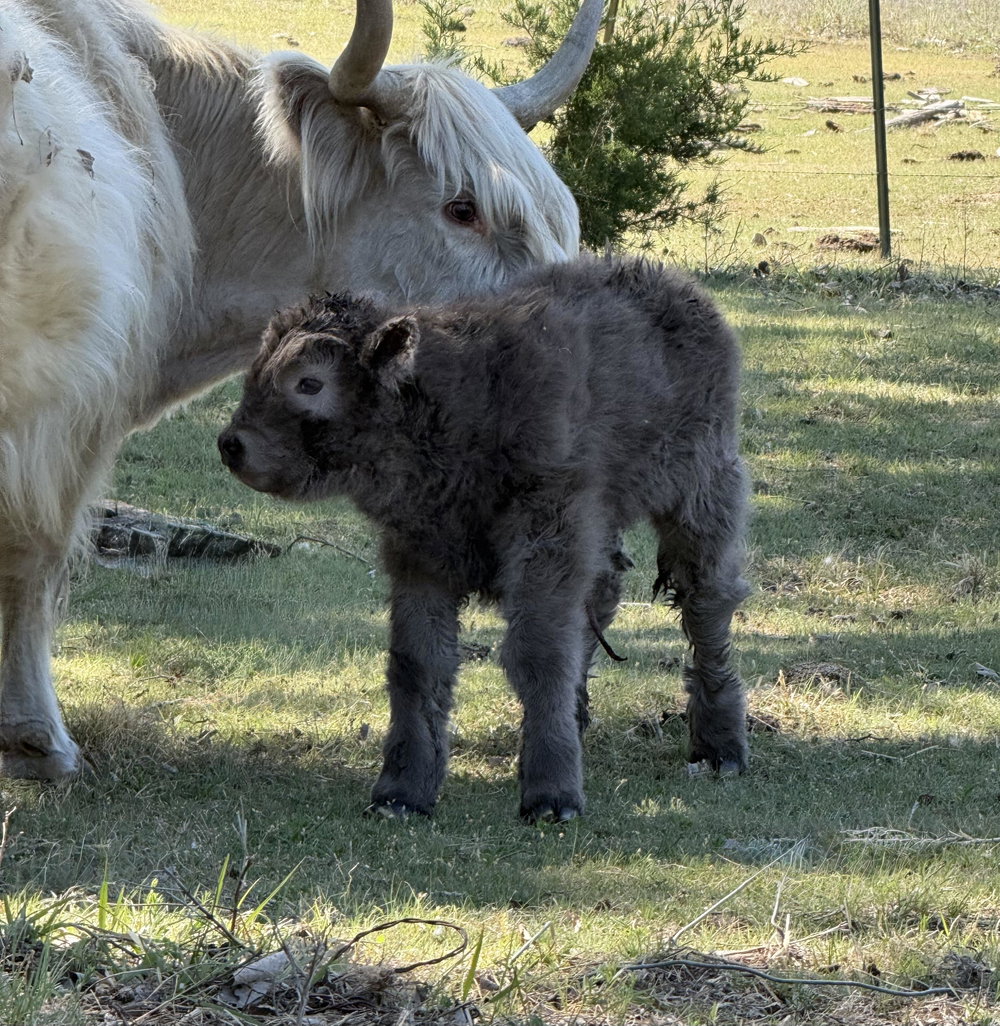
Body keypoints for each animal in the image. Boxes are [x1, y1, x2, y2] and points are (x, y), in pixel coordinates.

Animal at [219, 253, 751, 822]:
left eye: (309, 383)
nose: (232, 445)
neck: (464, 397)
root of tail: (675, 287)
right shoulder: (421, 556)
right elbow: (417, 664)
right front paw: (401, 791)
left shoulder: (546, 537)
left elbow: (538, 650)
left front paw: (552, 795)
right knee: (604, 598)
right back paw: (580, 717)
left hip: (700, 492)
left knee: (706, 602)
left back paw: (721, 748)